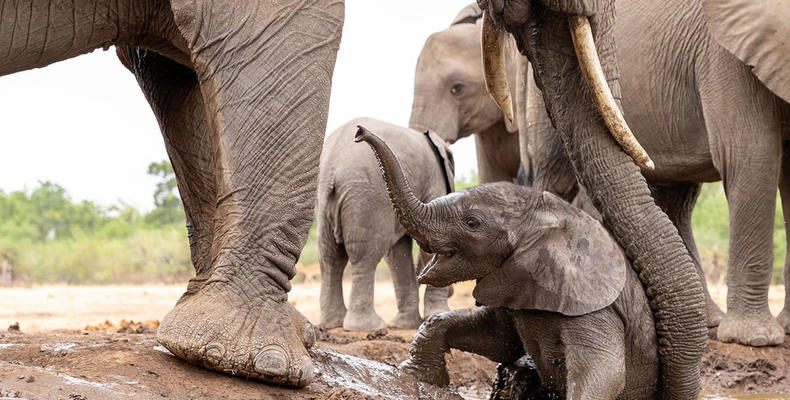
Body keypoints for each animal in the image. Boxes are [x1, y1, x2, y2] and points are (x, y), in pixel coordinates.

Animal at [317, 117, 455, 331]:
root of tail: (332, 166)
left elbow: (397, 252)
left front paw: (406, 325)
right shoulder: (435, 181)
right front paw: (438, 315)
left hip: (326, 200)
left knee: (330, 256)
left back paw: (332, 324)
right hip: (367, 198)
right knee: (365, 255)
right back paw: (368, 327)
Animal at [356, 126, 659, 399]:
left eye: (472, 223)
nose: (359, 133)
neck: (550, 218)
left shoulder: (592, 308)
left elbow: (603, 375)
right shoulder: (519, 283)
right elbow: (498, 338)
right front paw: (415, 376)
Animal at [520, 0, 790, 346]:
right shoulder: (726, 57)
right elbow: (752, 155)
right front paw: (756, 339)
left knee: (677, 199)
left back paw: (704, 321)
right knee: (559, 178)